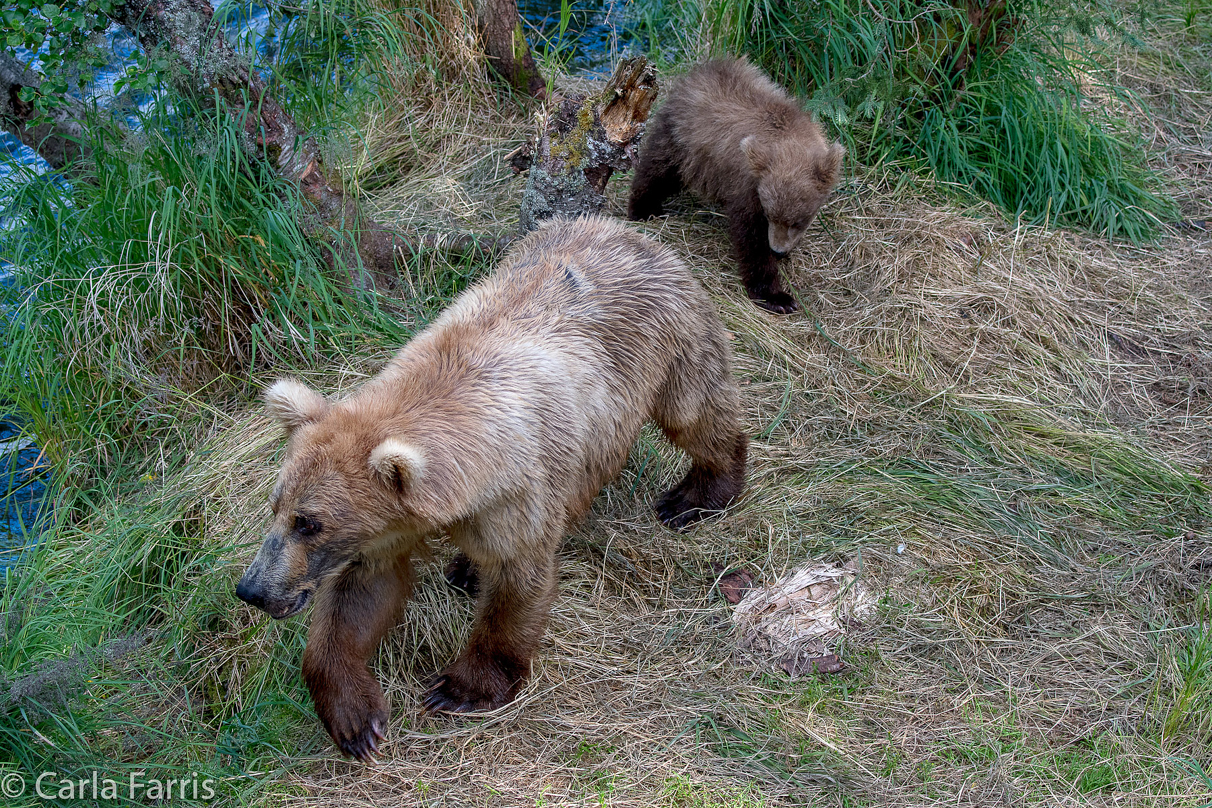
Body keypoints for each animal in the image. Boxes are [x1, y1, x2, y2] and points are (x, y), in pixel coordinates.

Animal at [233, 214, 746, 760]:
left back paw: (697, 496)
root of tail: (627, 231)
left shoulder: (518, 490)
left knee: (695, 413)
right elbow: (360, 596)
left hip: (670, 340)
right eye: (276, 507)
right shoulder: (388, 529)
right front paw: (356, 720)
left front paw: (459, 688)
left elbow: (516, 578)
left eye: (309, 523)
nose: (252, 589)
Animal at [635, 56, 843, 314]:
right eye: (769, 214)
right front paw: (777, 297)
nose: (778, 250)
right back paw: (643, 208)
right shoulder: (746, 185)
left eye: (798, 221)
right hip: (684, 141)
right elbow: (751, 239)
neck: (789, 137)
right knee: (658, 169)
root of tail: (700, 69)